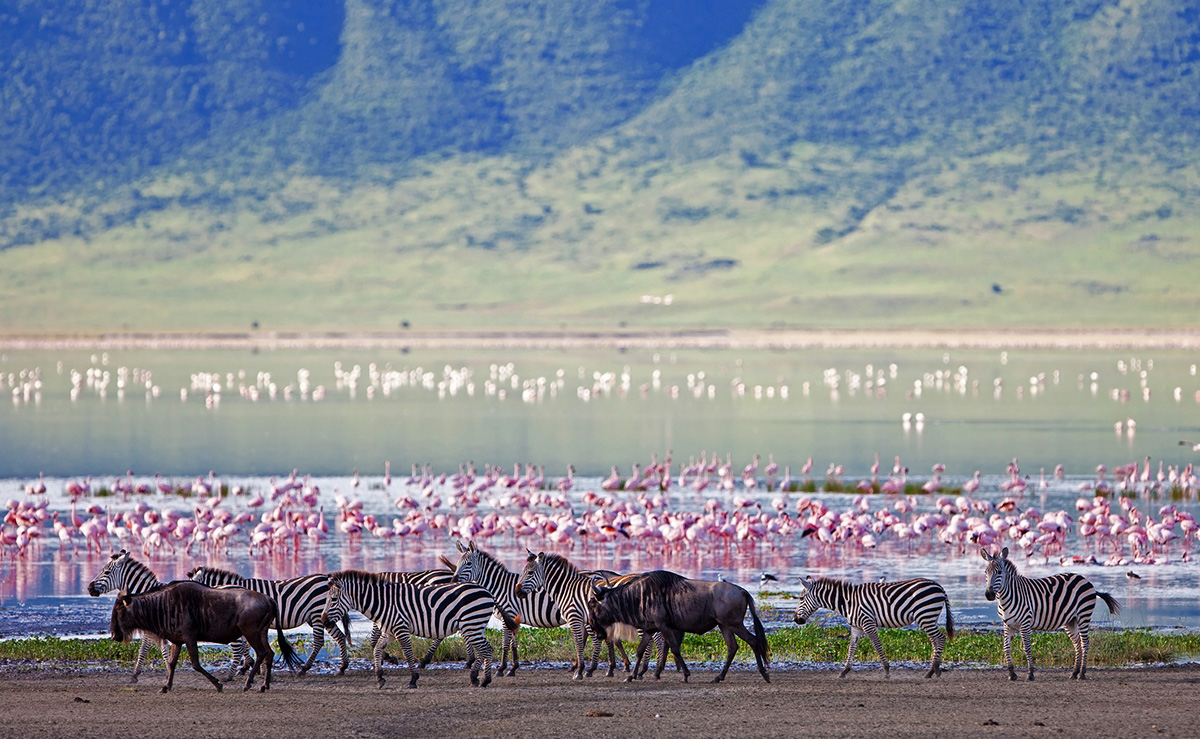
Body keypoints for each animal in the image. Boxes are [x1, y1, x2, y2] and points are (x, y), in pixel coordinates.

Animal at [184, 566, 350, 676]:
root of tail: (326, 578)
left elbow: (245, 645)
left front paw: (249, 666)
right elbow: (246, 645)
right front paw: (250, 665)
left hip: (316, 614)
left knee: (319, 641)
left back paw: (304, 669)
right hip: (322, 617)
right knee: (340, 636)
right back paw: (342, 667)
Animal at [319, 571, 511, 686]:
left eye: (333, 599)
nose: (323, 621)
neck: (384, 602)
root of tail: (486, 591)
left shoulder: (400, 628)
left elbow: (407, 653)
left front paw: (413, 678)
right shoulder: (389, 632)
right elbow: (377, 649)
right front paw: (380, 677)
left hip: (472, 624)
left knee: (486, 649)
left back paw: (484, 679)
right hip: (473, 626)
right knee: (485, 649)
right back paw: (476, 677)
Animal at [792, 573, 950, 676]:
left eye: (800, 598)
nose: (795, 620)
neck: (848, 602)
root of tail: (939, 587)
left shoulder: (868, 622)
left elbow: (877, 645)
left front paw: (886, 670)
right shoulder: (856, 627)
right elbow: (852, 647)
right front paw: (844, 671)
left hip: (925, 615)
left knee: (940, 638)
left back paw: (933, 670)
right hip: (929, 617)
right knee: (935, 640)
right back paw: (932, 671)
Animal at [979, 542, 1118, 681]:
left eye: (999, 572)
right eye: (986, 572)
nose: (989, 594)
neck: (1007, 597)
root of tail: (1084, 579)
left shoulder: (1025, 623)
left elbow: (1027, 648)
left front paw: (1030, 674)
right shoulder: (1008, 624)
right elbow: (1006, 648)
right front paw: (1011, 674)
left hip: (1084, 615)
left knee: (1085, 643)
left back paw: (1082, 673)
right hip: (1070, 620)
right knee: (1077, 643)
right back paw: (1074, 672)